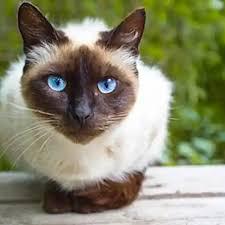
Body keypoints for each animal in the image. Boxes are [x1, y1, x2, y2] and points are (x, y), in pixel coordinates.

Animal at [0, 1, 172, 213]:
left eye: (107, 85)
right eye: (57, 83)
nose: (81, 114)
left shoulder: (149, 141)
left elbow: (131, 176)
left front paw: (87, 201)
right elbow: (54, 183)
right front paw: (59, 201)